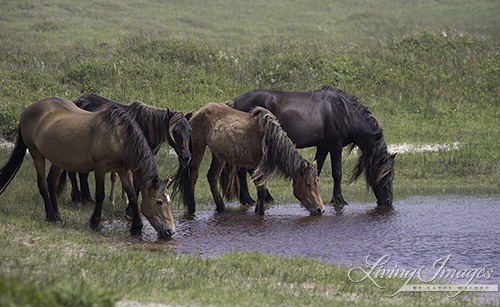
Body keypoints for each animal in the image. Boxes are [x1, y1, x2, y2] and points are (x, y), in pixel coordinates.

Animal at [0, 97, 176, 239]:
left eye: (170, 201)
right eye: (159, 202)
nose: (170, 231)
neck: (119, 137)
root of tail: (28, 109)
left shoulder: (124, 170)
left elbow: (132, 196)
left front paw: (136, 228)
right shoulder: (100, 167)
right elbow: (100, 194)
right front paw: (96, 224)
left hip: (58, 159)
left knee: (52, 184)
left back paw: (57, 216)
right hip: (37, 154)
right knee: (43, 184)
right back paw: (51, 216)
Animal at [63, 93, 192, 209]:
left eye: (190, 130)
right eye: (174, 130)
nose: (186, 157)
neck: (144, 127)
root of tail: (76, 101)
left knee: (82, 174)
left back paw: (87, 199)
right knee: (73, 173)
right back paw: (78, 200)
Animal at [174, 103, 326, 217]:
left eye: (318, 184)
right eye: (308, 184)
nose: (320, 210)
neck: (269, 137)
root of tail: (198, 113)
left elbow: (261, 189)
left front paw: (258, 209)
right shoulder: (259, 165)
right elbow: (261, 190)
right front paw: (260, 213)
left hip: (218, 156)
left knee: (212, 177)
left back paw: (221, 208)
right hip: (198, 148)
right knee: (193, 176)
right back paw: (192, 208)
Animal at [229, 85, 396, 208]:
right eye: (386, 174)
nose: (388, 201)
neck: (344, 112)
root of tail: (236, 101)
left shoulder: (323, 146)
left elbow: (317, 170)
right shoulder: (335, 145)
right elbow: (337, 173)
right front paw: (339, 200)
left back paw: (264, 198)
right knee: (244, 170)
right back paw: (248, 199)